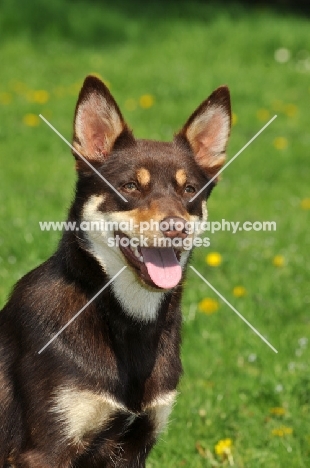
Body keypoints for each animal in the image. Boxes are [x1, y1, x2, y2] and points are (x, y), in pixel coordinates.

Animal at [0, 75, 230, 466]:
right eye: (130, 186)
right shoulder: (45, 448)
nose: (176, 227)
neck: (126, 319)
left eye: (189, 190)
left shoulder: (135, 445)